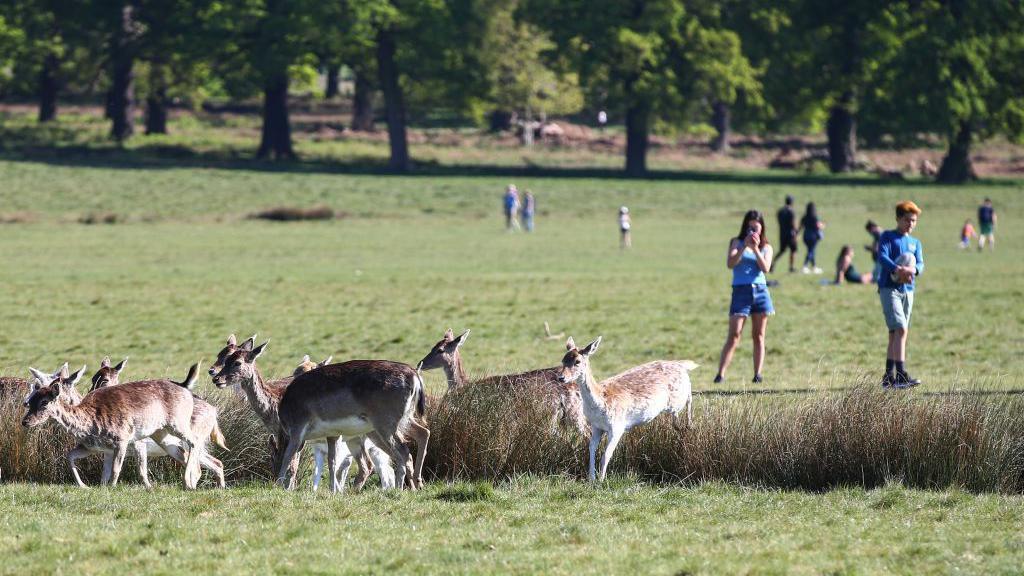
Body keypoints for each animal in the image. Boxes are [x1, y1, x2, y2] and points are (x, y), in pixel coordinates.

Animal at [22, 363, 203, 489]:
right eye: (32, 401)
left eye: (45, 403)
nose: (25, 421)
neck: (91, 424)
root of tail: (185, 387)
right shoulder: (96, 447)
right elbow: (71, 456)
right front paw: (85, 486)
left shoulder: (122, 438)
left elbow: (116, 470)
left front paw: (112, 488)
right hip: (160, 433)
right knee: (183, 452)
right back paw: (191, 483)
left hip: (178, 422)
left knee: (194, 441)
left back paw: (187, 483)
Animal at [84, 356, 229, 487]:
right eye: (92, 377)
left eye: (105, 380)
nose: (91, 393)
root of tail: (213, 411)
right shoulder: (108, 450)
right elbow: (104, 476)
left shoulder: (139, 442)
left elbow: (141, 468)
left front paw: (148, 487)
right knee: (215, 463)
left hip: (192, 438)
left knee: (200, 465)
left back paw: (190, 486)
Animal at [418, 328, 589, 437]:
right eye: (432, 345)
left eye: (440, 350)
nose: (421, 363)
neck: (463, 385)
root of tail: (577, 387)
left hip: (568, 414)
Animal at [556, 336, 698, 482]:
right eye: (563, 360)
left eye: (577, 361)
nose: (561, 377)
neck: (600, 403)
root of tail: (680, 364)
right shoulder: (596, 426)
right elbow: (591, 449)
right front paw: (591, 479)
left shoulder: (617, 426)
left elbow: (606, 455)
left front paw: (601, 481)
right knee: (677, 418)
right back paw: (681, 426)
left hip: (678, 396)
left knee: (688, 397)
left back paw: (690, 424)